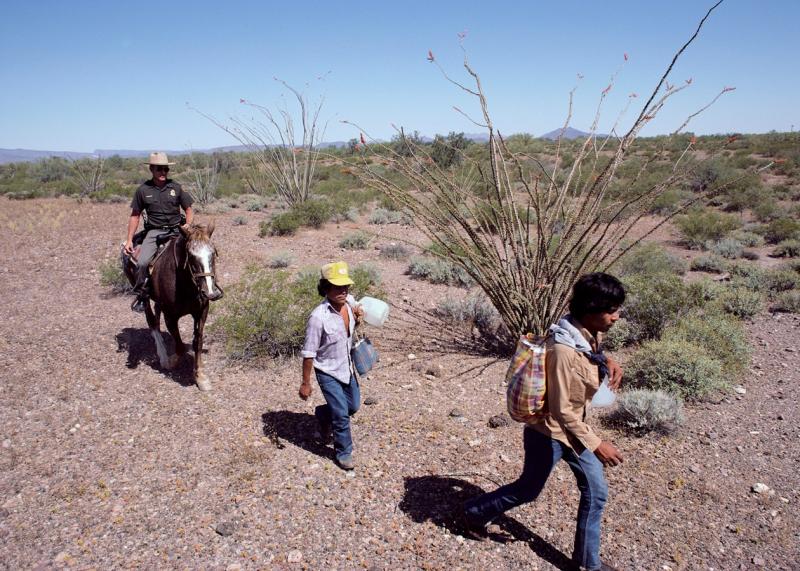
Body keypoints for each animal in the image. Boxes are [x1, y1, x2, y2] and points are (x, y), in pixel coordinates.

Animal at [125, 221, 225, 392]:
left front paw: (200, 377)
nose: (210, 293)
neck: (186, 285)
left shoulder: (201, 312)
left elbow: (197, 343)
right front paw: (171, 361)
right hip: (144, 297)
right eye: (191, 256)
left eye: (213, 254)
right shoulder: (170, 316)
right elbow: (179, 346)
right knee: (152, 321)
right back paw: (163, 356)